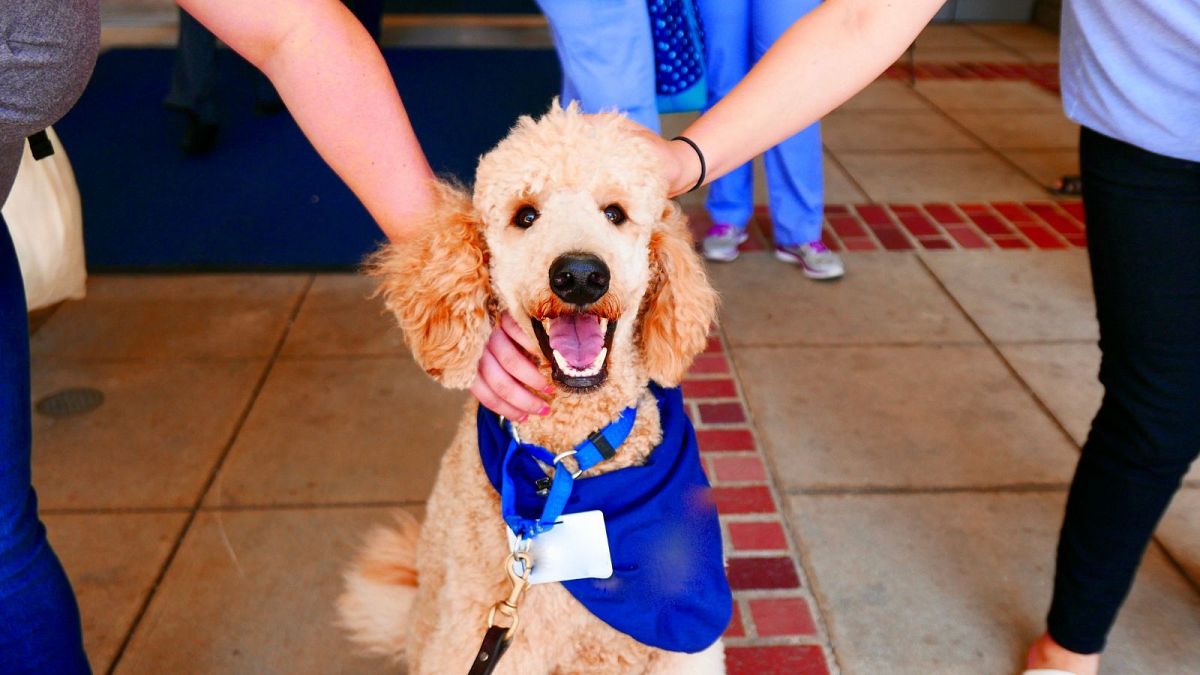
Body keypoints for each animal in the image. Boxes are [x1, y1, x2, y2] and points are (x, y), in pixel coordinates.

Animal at [340, 102, 729, 667]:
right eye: (525, 216)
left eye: (614, 213)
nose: (581, 275)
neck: (568, 465)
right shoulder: (484, 639)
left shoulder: (682, 653)